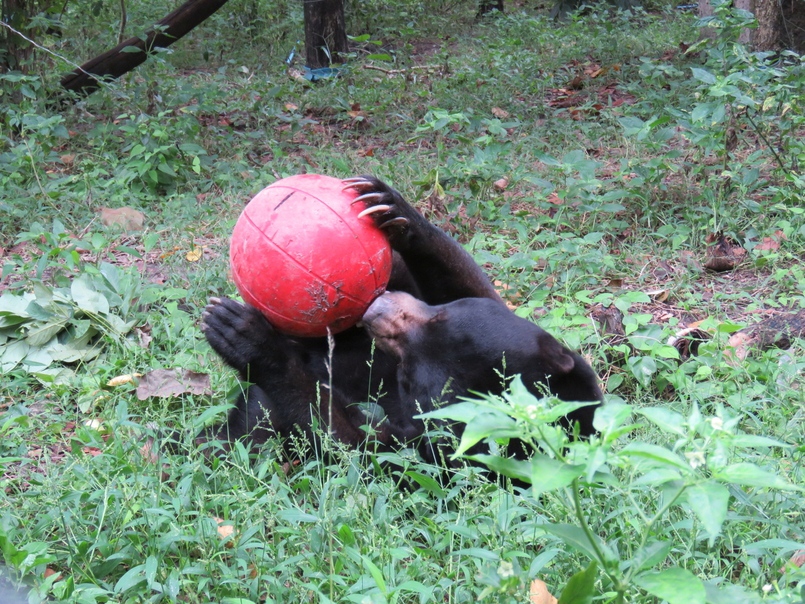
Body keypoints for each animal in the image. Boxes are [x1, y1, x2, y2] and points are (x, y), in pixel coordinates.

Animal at [199, 175, 604, 458]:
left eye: (409, 376)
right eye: (442, 315)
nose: (376, 309)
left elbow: (348, 446)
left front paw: (246, 338)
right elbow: (476, 287)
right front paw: (392, 210)